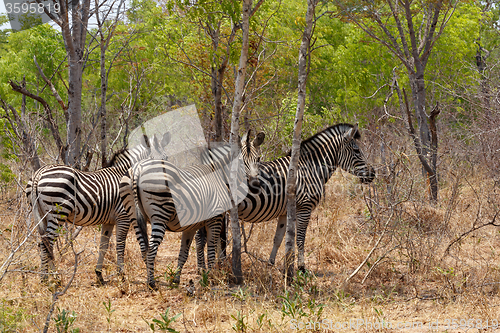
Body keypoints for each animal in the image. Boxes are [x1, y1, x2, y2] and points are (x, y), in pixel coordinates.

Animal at [26, 132, 171, 282]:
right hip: (57, 213)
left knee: (44, 242)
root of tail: (39, 173)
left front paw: (99, 274)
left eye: (166, 158)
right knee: (47, 242)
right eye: (159, 159)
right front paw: (121, 274)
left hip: (42, 214)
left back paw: (51, 276)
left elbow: (103, 246)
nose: (165, 185)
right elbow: (120, 245)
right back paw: (48, 277)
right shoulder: (123, 217)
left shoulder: (109, 221)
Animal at [119, 130, 266, 288]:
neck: (220, 175)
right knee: (152, 248)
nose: (255, 185)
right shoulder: (215, 219)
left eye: (258, 159)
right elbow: (211, 249)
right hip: (160, 213)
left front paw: (179, 279)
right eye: (240, 161)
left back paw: (149, 278)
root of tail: (138, 169)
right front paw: (211, 277)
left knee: (143, 248)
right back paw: (152, 282)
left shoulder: (192, 225)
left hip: (133, 215)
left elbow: (185, 252)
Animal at [197, 123, 374, 274]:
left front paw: (271, 265)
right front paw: (301, 268)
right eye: (357, 151)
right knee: (205, 237)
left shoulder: (284, 212)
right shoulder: (305, 207)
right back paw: (209, 270)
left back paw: (209, 268)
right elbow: (300, 238)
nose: (372, 174)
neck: (310, 168)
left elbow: (278, 238)